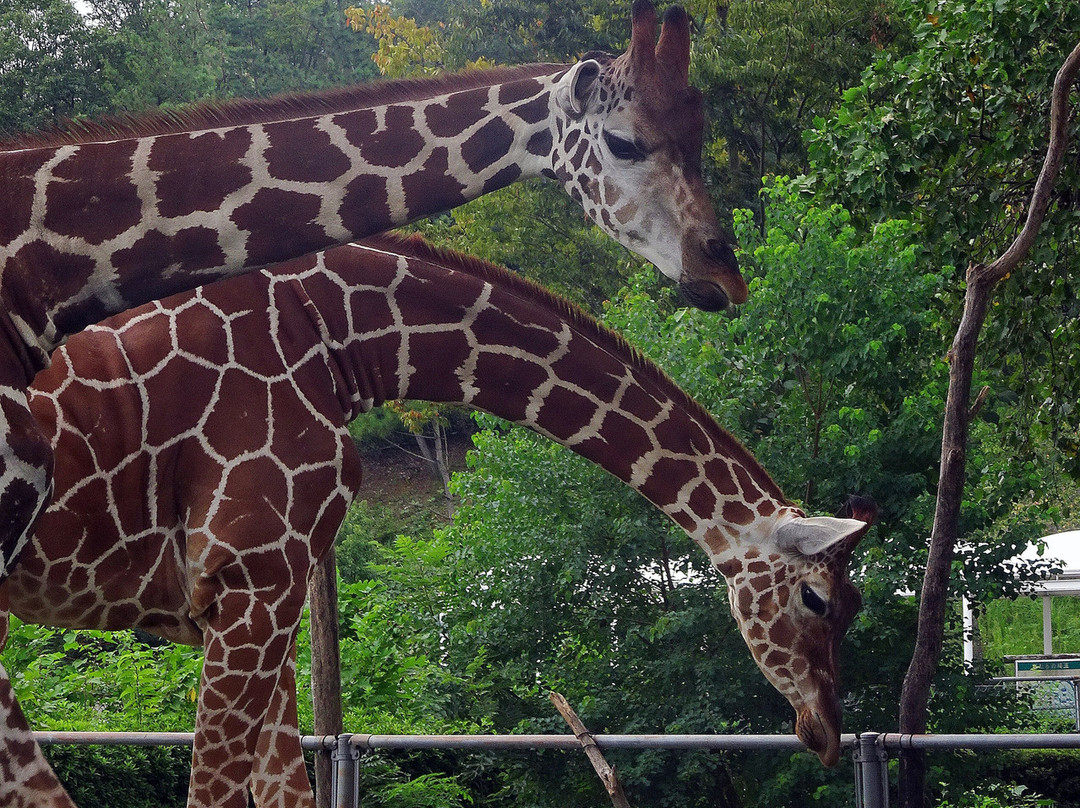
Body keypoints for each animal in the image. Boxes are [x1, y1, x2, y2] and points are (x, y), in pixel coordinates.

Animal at [0, 233, 872, 808]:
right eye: (818, 600)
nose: (826, 731)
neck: (340, 338)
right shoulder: (253, 583)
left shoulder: (254, 598)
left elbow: (286, 790)